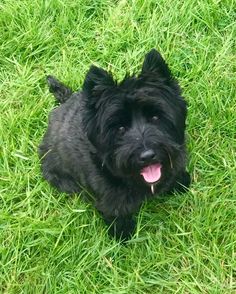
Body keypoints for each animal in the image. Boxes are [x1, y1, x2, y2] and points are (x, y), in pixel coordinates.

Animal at [38, 49, 190, 240]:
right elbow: (116, 213)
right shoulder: (111, 200)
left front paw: (179, 182)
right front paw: (122, 233)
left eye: (155, 117)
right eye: (120, 128)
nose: (147, 156)